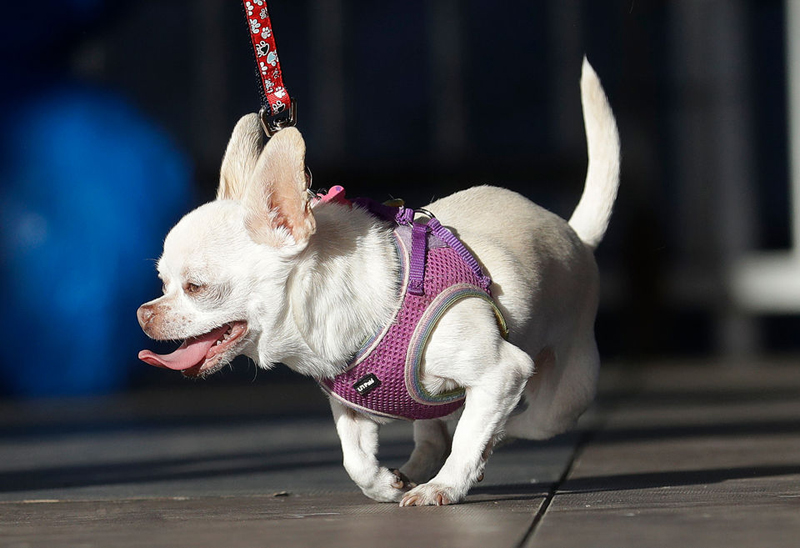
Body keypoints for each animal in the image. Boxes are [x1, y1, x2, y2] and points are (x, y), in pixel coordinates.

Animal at [139, 58, 620, 506]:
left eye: (196, 287)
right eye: (162, 282)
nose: (144, 314)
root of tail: (575, 234)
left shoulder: (503, 371)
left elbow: (470, 436)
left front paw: (446, 485)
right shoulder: (349, 406)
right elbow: (355, 460)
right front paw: (386, 484)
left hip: (564, 397)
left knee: (513, 423)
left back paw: (471, 457)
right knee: (435, 433)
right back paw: (416, 467)